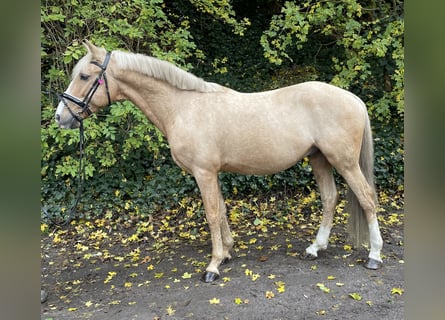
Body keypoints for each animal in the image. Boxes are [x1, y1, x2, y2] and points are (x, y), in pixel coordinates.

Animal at [54, 40, 382, 282]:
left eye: (84, 77)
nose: (60, 117)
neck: (183, 107)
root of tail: (353, 98)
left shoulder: (204, 173)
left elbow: (212, 214)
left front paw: (212, 266)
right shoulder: (213, 173)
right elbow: (222, 210)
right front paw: (226, 253)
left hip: (344, 162)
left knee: (367, 199)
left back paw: (374, 256)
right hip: (319, 159)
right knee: (329, 198)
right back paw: (315, 248)